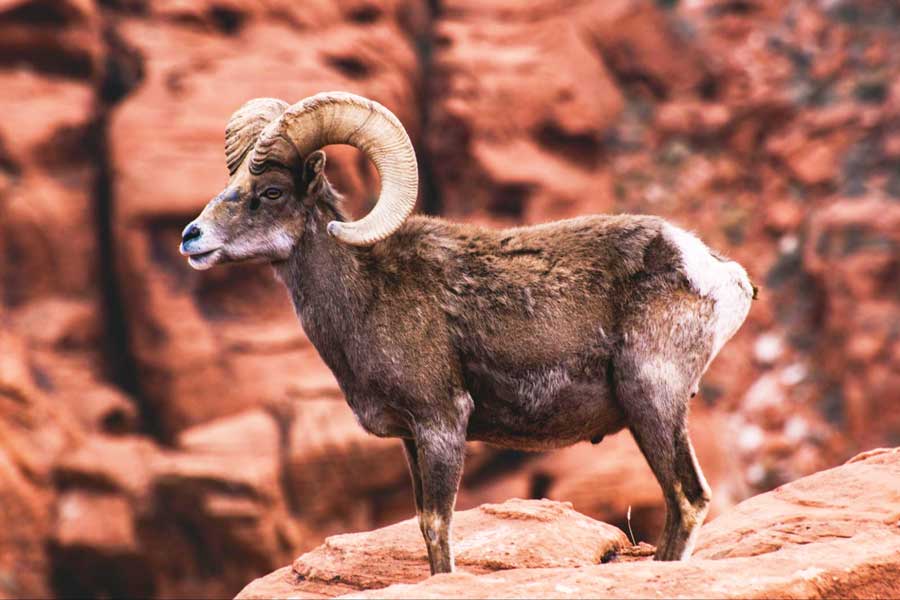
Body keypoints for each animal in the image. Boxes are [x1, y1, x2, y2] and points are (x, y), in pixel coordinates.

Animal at [180, 91, 755, 574]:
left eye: (272, 191)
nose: (191, 237)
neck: (367, 293)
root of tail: (717, 272)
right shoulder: (411, 439)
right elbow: (423, 526)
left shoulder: (442, 423)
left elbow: (438, 527)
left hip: (652, 401)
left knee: (687, 499)